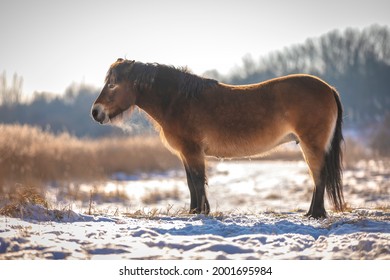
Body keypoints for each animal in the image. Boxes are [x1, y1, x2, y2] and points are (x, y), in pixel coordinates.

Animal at [92, 58, 344, 218]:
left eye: (112, 84)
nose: (95, 112)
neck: (178, 100)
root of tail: (329, 88)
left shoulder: (192, 151)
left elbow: (196, 181)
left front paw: (200, 212)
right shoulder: (186, 154)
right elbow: (190, 182)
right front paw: (194, 211)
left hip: (311, 145)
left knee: (318, 176)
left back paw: (315, 214)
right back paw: (312, 213)